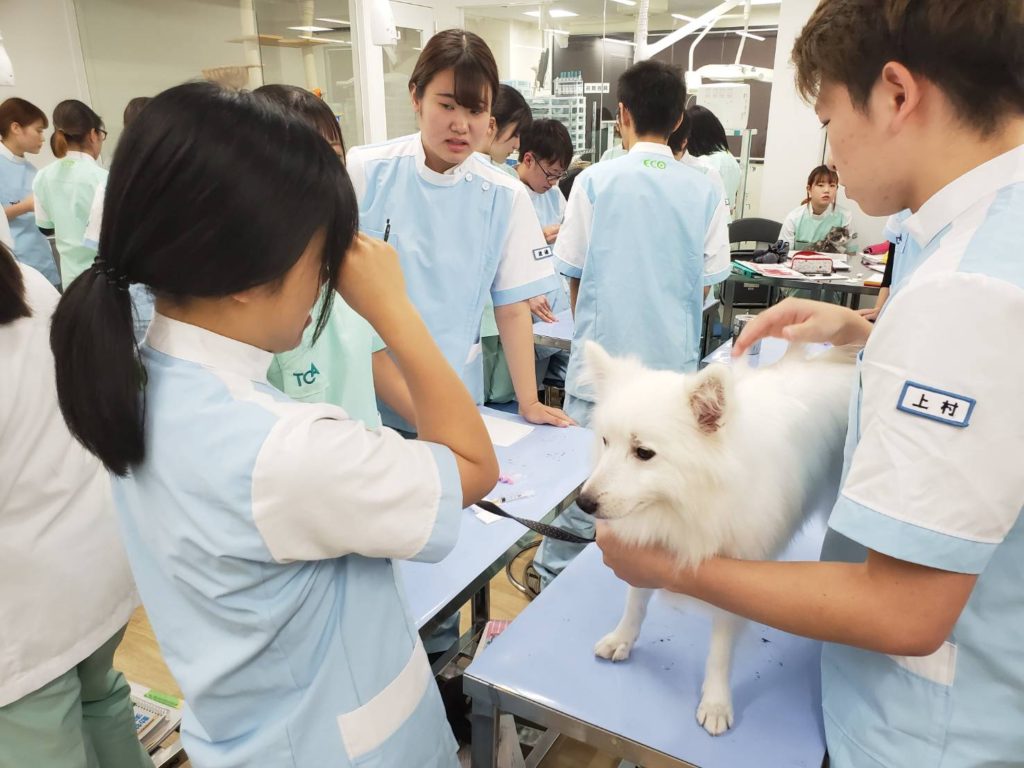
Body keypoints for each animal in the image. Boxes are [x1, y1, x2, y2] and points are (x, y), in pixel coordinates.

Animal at [577, 344, 856, 741]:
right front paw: (623, 638)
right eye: (605, 441)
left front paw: (716, 702)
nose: (583, 502)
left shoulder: (736, 577)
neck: (689, 504)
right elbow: (635, 604)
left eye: (643, 453)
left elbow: (720, 652)